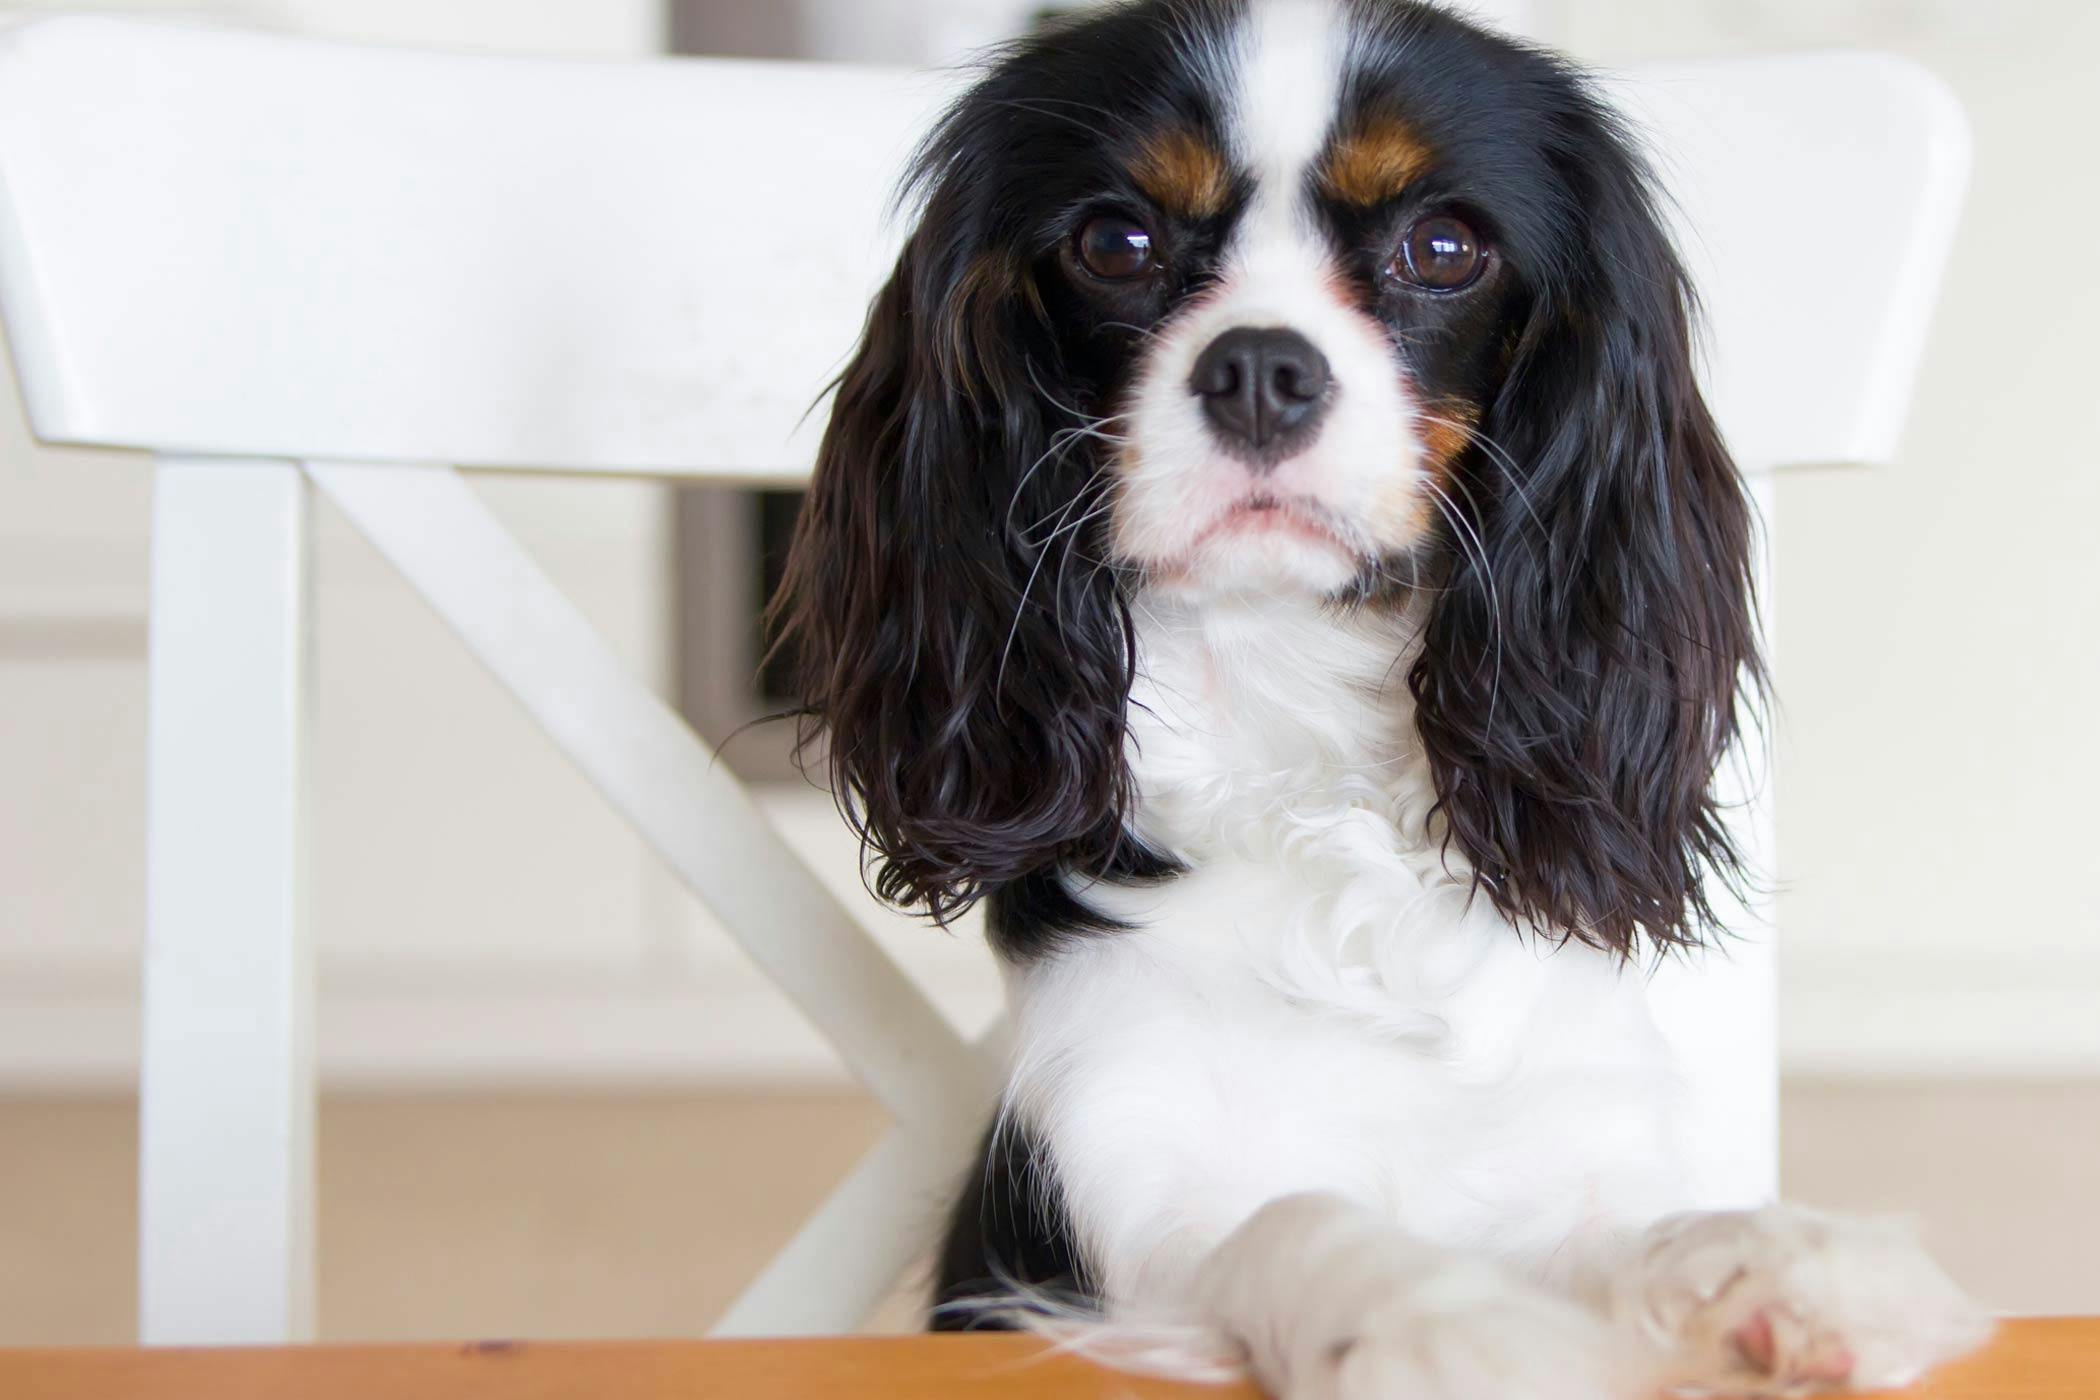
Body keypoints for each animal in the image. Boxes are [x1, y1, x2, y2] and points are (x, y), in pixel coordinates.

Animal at [768, 5, 1982, 1393]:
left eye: (1443, 248)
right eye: (1115, 242)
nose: (1260, 367)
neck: (1303, 740)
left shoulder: (1559, 1152)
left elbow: (1634, 1226)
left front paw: (1787, 1258)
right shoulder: (1112, 1213)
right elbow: (1300, 1217)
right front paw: (1451, 1321)